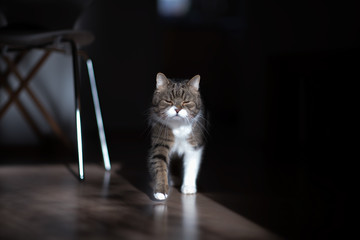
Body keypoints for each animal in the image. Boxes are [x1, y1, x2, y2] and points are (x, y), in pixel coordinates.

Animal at [148, 72, 205, 200]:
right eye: (168, 101)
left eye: (186, 102)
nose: (177, 109)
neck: (178, 126)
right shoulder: (161, 142)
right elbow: (160, 165)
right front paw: (161, 191)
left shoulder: (194, 146)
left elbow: (191, 166)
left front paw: (188, 187)